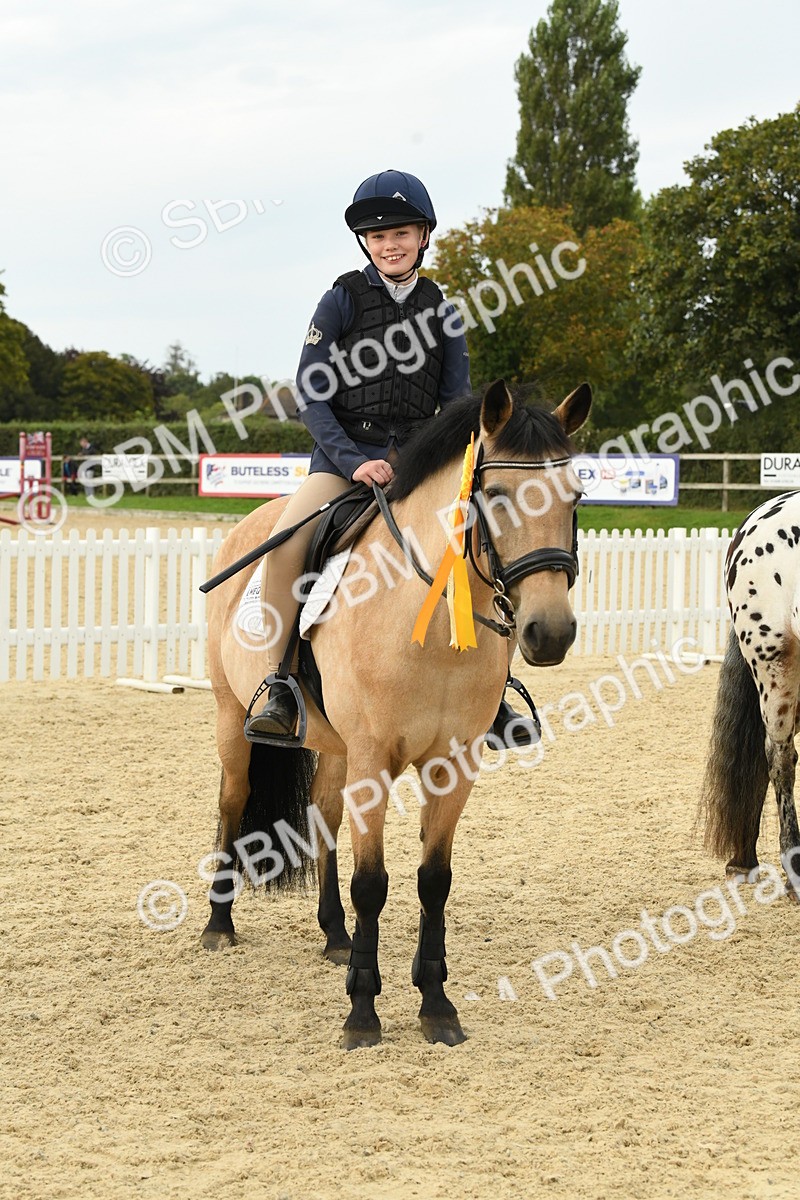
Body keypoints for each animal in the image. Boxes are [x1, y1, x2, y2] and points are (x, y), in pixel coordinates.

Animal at [201, 379, 592, 1047]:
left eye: (577, 497)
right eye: (494, 496)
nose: (550, 633)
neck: (428, 619)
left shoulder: (452, 764)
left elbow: (434, 880)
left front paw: (436, 1005)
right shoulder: (374, 757)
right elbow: (373, 884)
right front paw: (362, 1012)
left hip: (334, 746)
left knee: (324, 816)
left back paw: (335, 934)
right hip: (236, 718)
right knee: (234, 800)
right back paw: (219, 924)